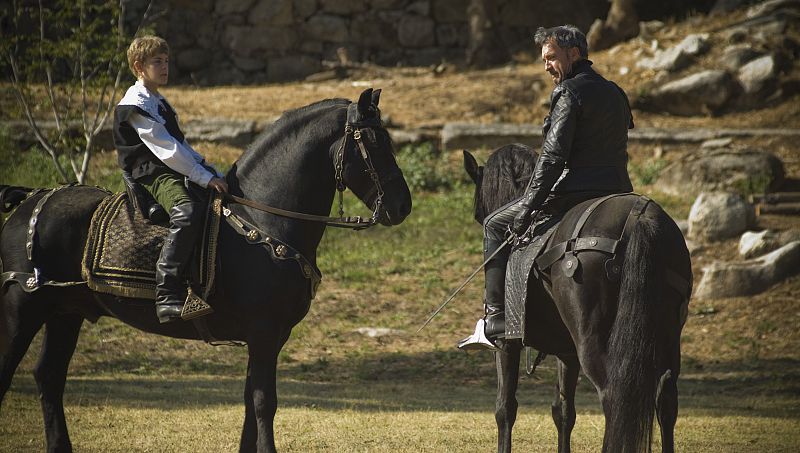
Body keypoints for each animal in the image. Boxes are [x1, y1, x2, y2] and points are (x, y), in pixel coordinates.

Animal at [0, 88, 412, 452]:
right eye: (373, 142)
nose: (402, 206)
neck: (261, 221)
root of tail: (29, 201)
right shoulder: (264, 334)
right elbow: (264, 403)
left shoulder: (269, 338)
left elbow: (250, 401)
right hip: (23, 308)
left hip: (64, 313)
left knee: (49, 378)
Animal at [466, 145, 692, 452]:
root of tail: (639, 217)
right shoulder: (566, 351)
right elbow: (563, 412)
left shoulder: (506, 344)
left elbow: (505, 408)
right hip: (666, 338)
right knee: (666, 397)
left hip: (593, 339)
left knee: (614, 396)